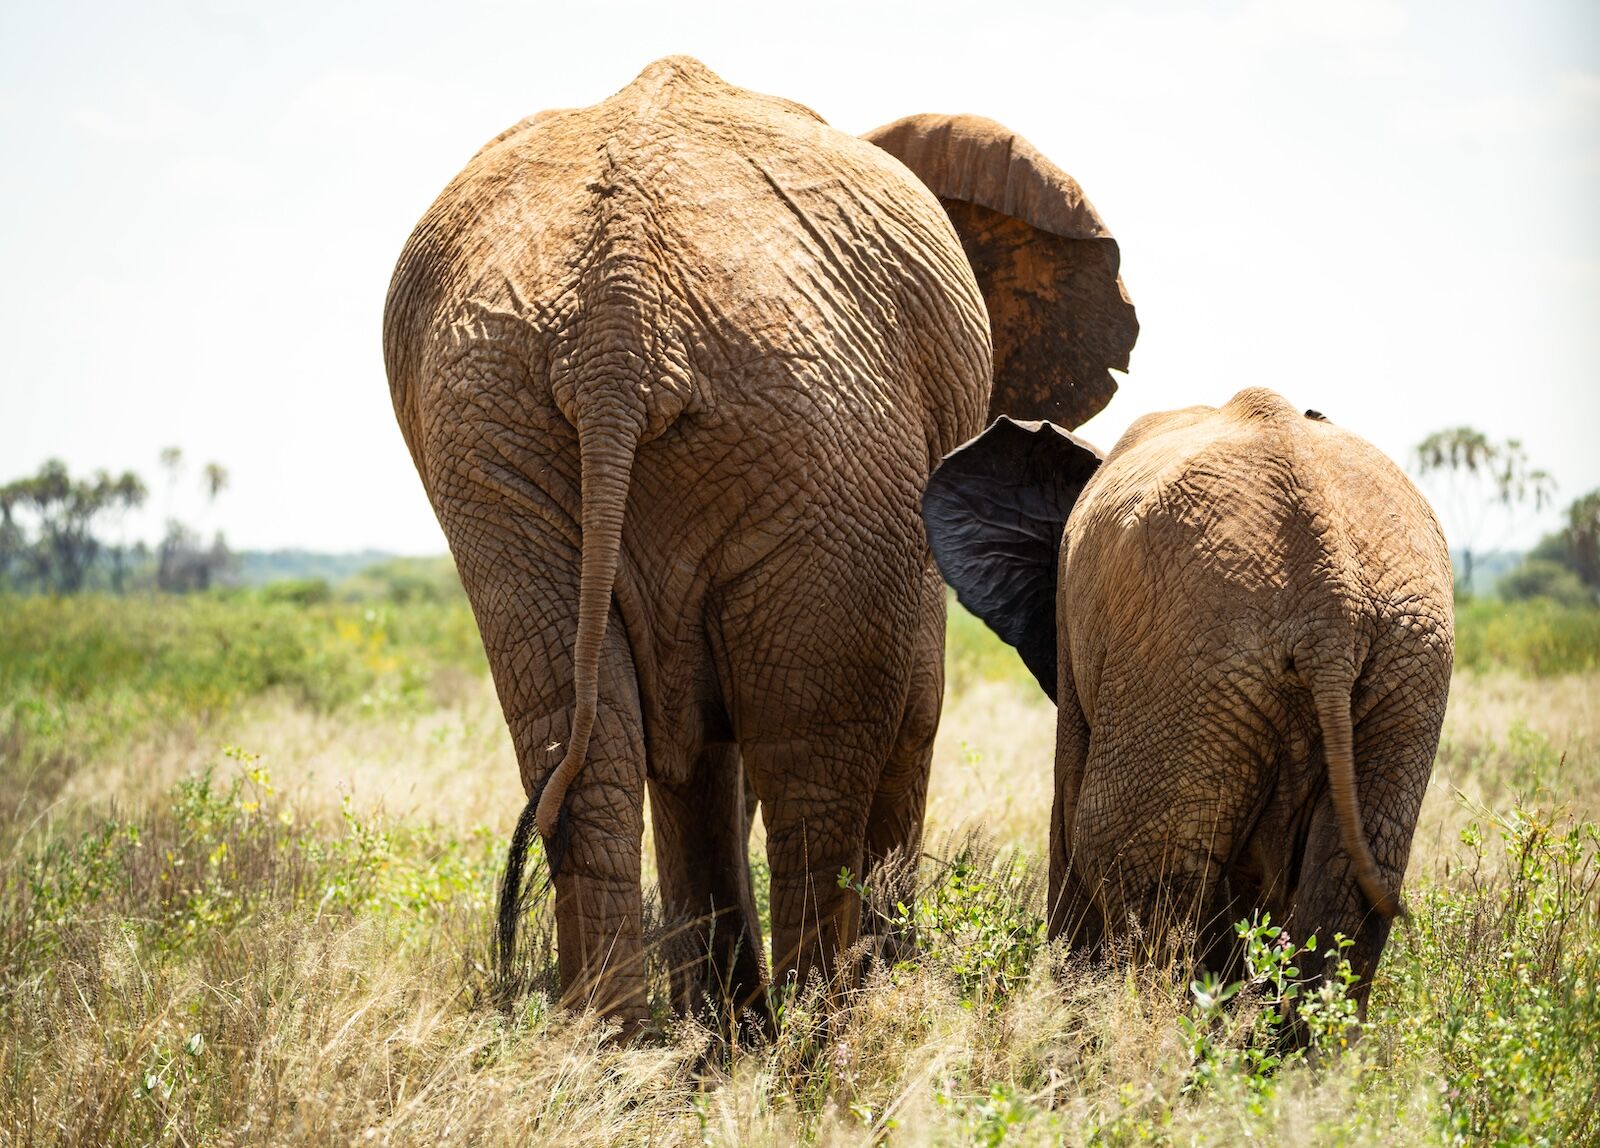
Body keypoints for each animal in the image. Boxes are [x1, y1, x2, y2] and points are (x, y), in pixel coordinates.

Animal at [384, 56, 1139, 1036]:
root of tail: (615, 324)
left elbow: (693, 750)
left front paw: (716, 1040)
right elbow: (914, 703)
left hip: (493, 425)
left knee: (580, 745)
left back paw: (618, 1050)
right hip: (814, 428)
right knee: (814, 751)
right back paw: (824, 1038)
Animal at [921, 388, 1459, 1016]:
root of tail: (1331, 598)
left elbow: (1068, 810)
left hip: (1194, 645)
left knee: (1129, 854)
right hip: (1404, 664)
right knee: (1348, 891)